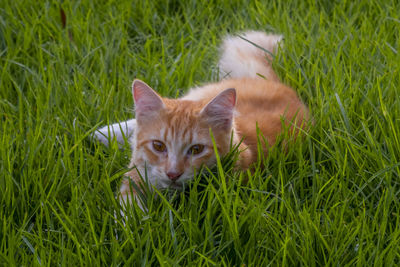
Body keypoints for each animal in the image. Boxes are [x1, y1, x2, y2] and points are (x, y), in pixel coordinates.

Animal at [94, 30, 310, 211]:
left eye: (196, 149)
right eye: (158, 146)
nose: (173, 174)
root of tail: (279, 84)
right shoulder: (135, 175)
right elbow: (128, 207)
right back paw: (104, 133)